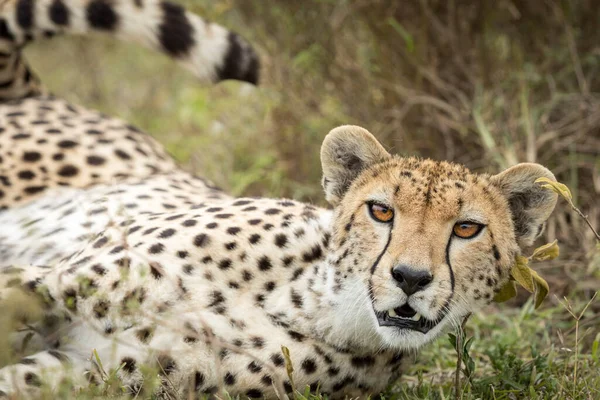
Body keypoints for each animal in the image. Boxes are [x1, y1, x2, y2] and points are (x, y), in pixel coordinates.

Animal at [0, 1, 556, 398]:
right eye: (382, 211)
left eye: (466, 229)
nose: (410, 278)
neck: (311, 304)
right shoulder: (60, 281)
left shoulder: (89, 368)